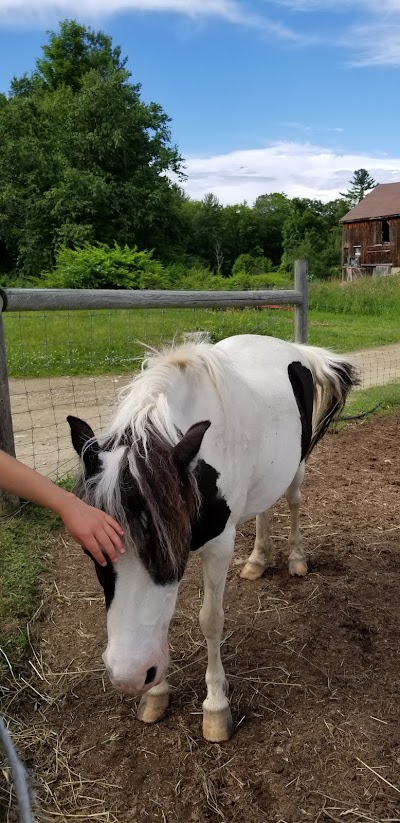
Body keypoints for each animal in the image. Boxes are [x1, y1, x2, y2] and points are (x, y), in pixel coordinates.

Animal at [67, 332, 358, 744]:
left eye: (167, 549)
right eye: (93, 549)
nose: (130, 676)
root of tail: (292, 347)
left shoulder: (218, 547)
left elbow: (211, 620)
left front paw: (216, 707)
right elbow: (164, 617)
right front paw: (156, 694)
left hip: (297, 465)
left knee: (293, 500)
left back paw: (296, 559)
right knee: (265, 508)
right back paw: (257, 560)